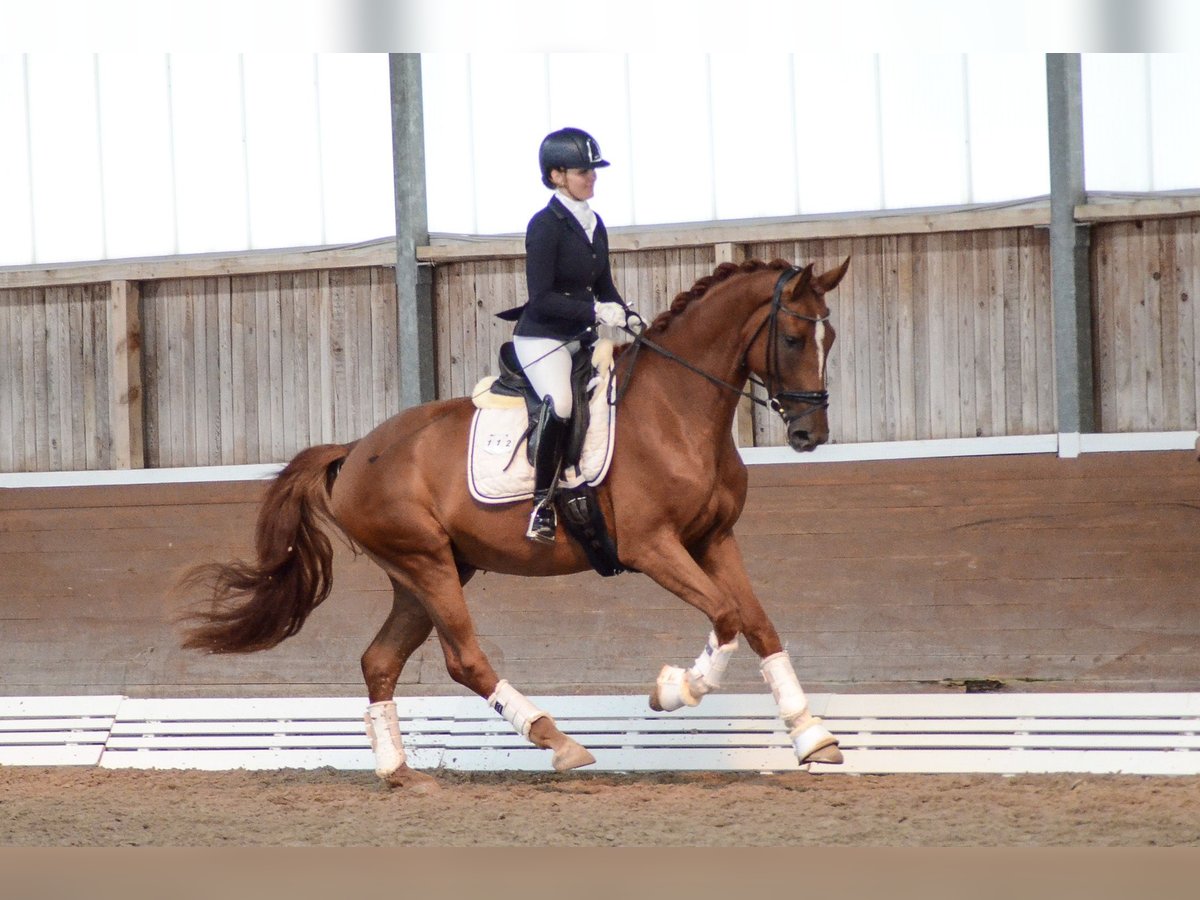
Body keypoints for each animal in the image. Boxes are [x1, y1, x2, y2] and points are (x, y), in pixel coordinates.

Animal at [177, 254, 854, 787]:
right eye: (794, 340)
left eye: (832, 340)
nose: (810, 434)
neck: (678, 409)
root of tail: (355, 451)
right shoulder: (652, 547)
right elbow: (726, 615)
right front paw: (674, 689)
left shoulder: (714, 540)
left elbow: (758, 624)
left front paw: (811, 736)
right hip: (425, 563)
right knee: (463, 660)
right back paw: (557, 741)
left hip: (428, 574)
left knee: (379, 661)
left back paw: (400, 774)